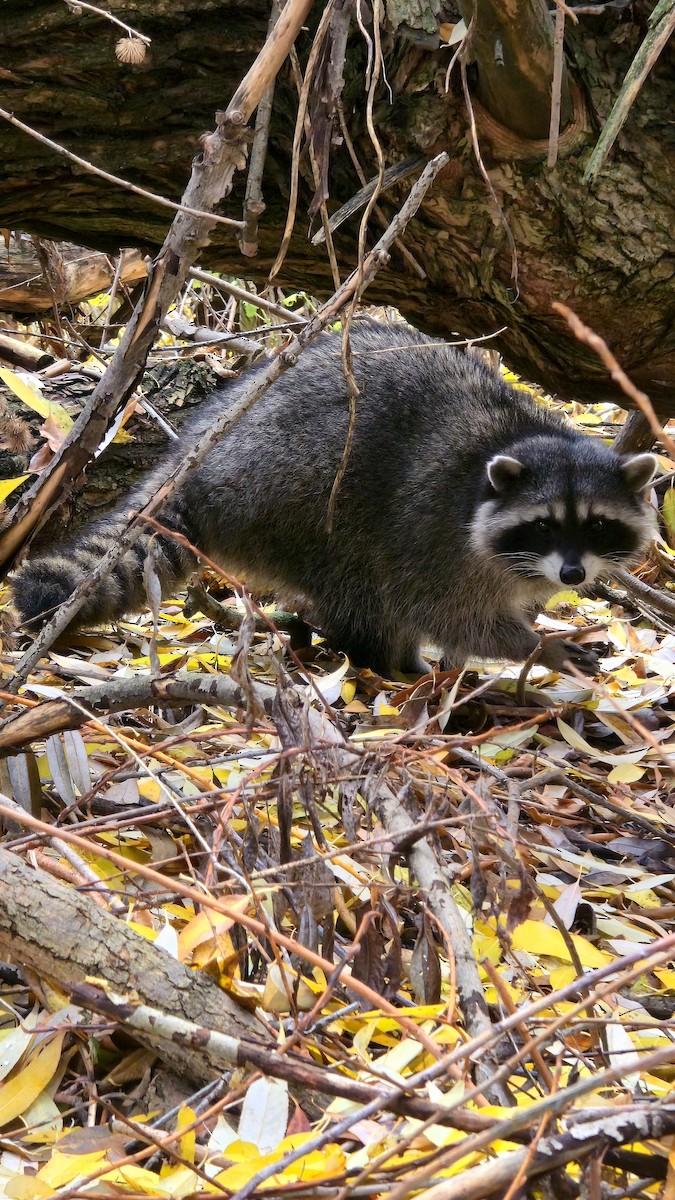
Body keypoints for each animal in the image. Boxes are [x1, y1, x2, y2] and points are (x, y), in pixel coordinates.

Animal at [11, 321, 657, 676]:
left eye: (598, 526)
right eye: (544, 524)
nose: (573, 575)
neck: (519, 438)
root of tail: (198, 454)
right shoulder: (434, 533)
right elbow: (445, 613)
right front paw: (534, 646)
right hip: (294, 496)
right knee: (366, 586)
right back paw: (390, 662)